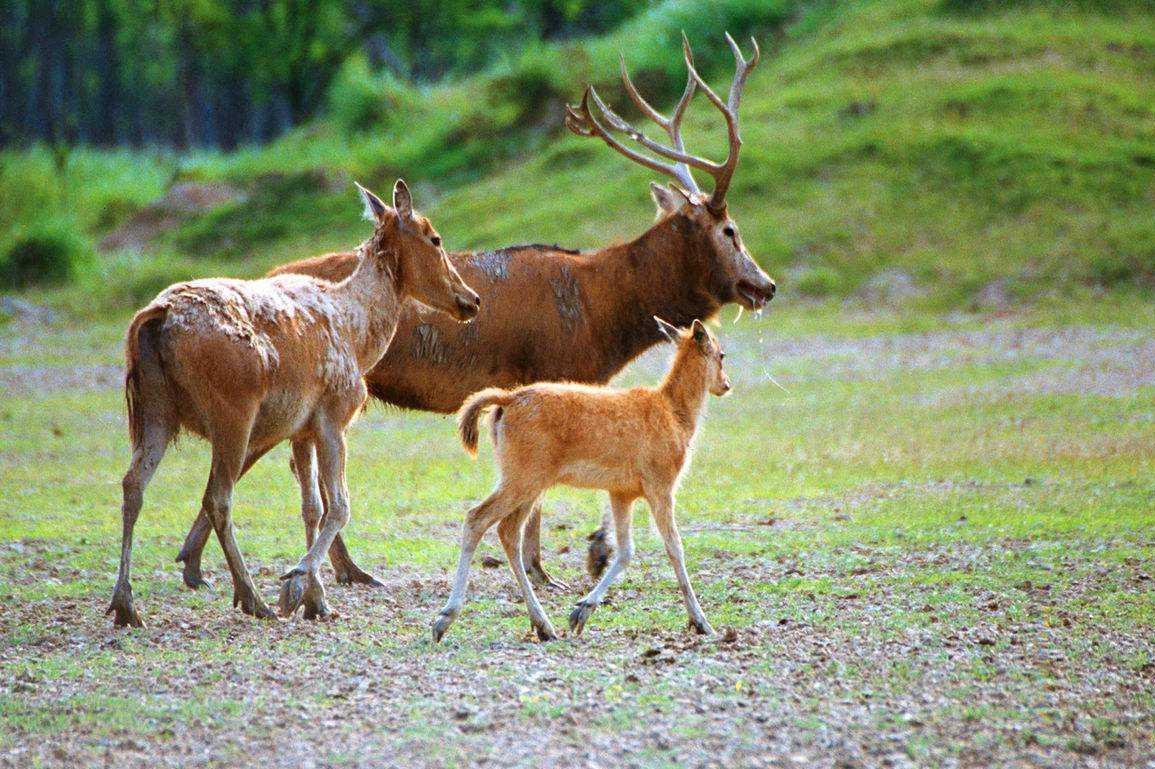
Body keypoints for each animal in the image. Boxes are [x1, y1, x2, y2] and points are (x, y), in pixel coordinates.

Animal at [101, 182, 475, 628]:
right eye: (435, 238)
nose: (472, 299)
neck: (358, 336)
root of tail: (156, 316)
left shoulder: (302, 428)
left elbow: (311, 506)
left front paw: (317, 601)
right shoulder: (334, 414)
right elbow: (340, 505)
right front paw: (294, 583)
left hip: (154, 410)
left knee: (133, 484)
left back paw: (125, 604)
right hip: (232, 410)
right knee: (217, 497)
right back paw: (251, 597)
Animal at [173, 32, 776, 591]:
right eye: (730, 229)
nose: (765, 285)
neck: (601, 313)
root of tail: (268, 276)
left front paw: (571, 557)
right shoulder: (548, 369)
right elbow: (538, 490)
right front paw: (547, 566)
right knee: (266, 457)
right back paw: (244, 565)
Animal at [434, 314, 729, 637]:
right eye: (721, 354)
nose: (726, 385)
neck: (676, 416)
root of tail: (507, 400)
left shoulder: (621, 492)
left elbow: (625, 550)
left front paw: (581, 611)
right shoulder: (661, 485)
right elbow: (674, 546)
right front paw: (702, 622)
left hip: (528, 482)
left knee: (508, 531)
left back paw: (543, 625)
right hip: (523, 478)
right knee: (477, 517)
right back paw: (444, 619)